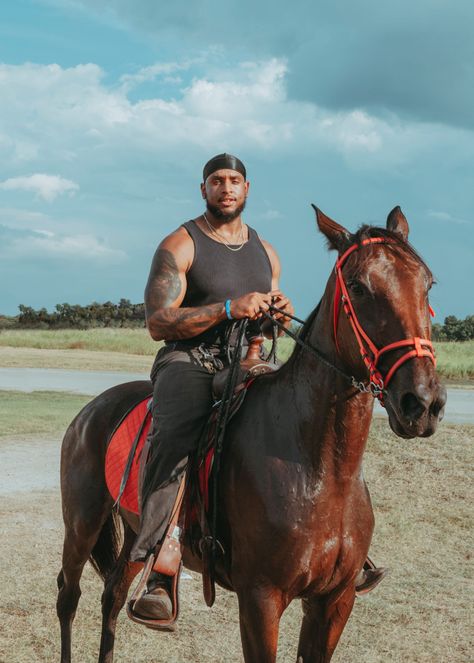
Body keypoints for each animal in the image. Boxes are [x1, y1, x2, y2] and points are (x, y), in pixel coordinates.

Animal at [57, 205, 446, 660]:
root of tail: (91, 410)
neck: (319, 467)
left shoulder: (335, 601)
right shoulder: (261, 598)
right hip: (82, 524)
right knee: (69, 595)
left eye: (428, 284)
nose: (422, 402)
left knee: (114, 594)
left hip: (136, 531)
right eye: (358, 286)